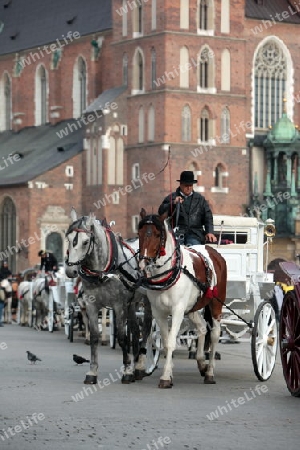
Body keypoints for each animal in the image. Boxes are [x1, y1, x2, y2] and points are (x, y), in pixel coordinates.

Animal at [63, 209, 152, 384]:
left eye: (85, 242)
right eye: (68, 239)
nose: (71, 271)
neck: (103, 271)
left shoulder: (118, 305)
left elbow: (122, 337)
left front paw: (127, 371)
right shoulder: (91, 306)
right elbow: (94, 337)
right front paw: (92, 372)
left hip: (148, 301)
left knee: (145, 328)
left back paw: (139, 366)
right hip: (131, 304)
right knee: (135, 330)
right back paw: (136, 362)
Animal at [138, 209, 227, 388]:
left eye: (157, 234)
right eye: (140, 233)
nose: (143, 263)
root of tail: (213, 251)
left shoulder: (178, 310)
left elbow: (172, 341)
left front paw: (165, 377)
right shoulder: (159, 312)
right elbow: (166, 343)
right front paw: (170, 373)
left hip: (216, 303)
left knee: (215, 334)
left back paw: (210, 372)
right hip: (192, 307)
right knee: (202, 328)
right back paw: (201, 363)